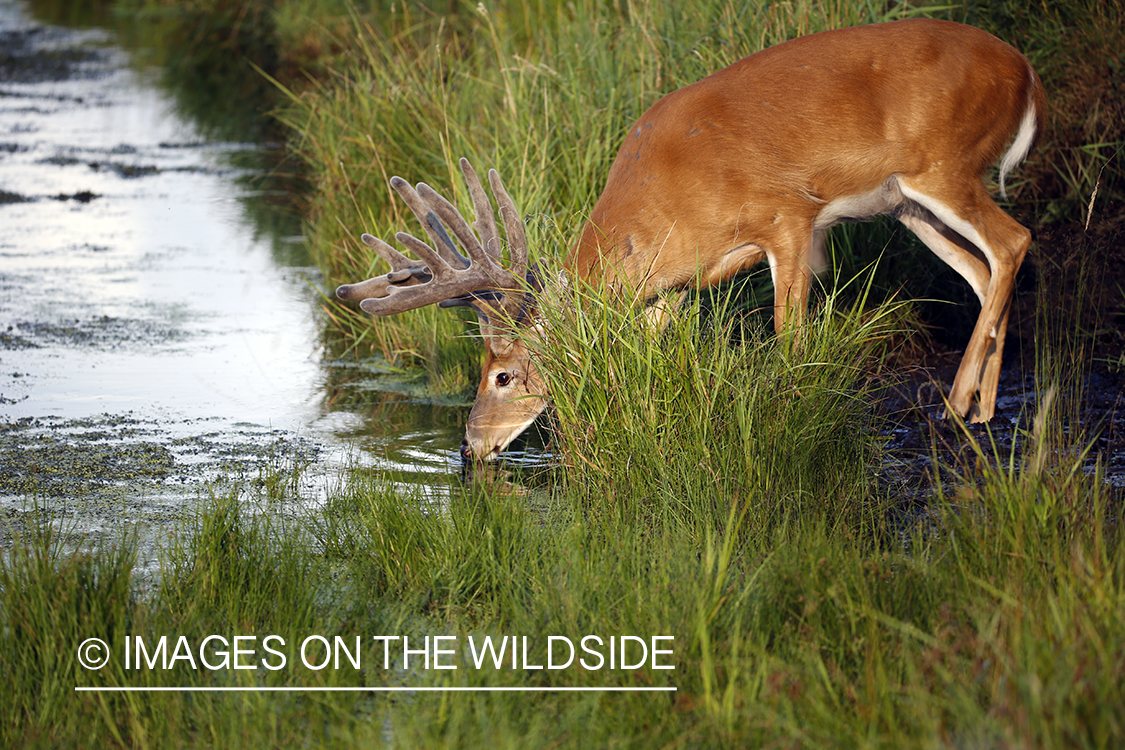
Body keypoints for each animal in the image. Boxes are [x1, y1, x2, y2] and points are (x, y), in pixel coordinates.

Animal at [333, 17, 1044, 461]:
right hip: (909, 204)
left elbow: (789, 338)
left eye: (502, 375)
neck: (669, 191)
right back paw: (984, 410)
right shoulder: (681, 279)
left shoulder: (788, 216)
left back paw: (955, 406)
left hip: (946, 166)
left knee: (1014, 240)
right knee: (983, 270)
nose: (467, 446)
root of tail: (1025, 70)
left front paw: (789, 422)